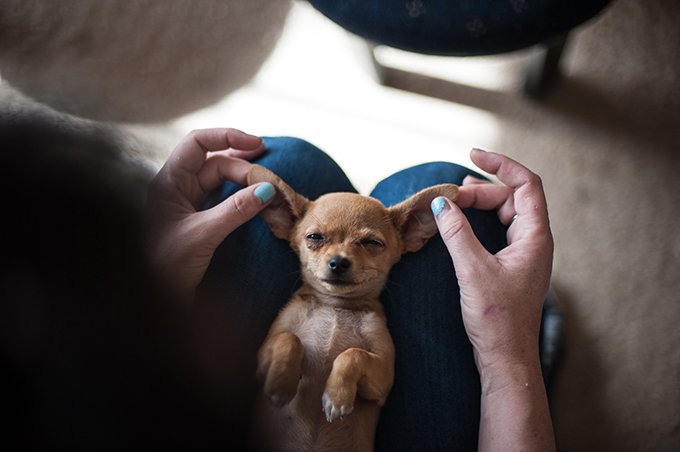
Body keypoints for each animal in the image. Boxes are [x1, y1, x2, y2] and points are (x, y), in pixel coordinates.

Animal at [247, 166, 460, 452]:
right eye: (314, 237)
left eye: (372, 243)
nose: (338, 262)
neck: (336, 307)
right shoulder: (261, 361)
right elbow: (288, 339)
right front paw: (282, 382)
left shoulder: (383, 379)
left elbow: (352, 354)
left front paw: (337, 396)